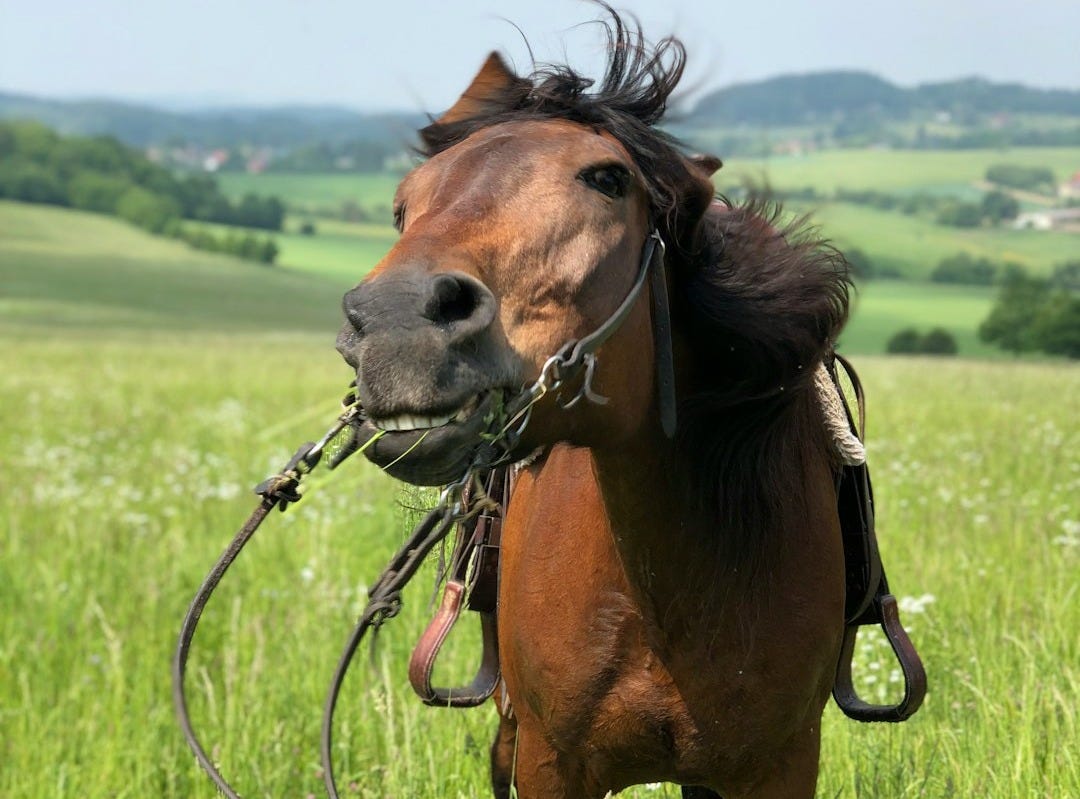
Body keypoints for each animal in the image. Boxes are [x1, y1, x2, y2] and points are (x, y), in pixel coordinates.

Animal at [334, 14, 854, 799]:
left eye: (608, 179)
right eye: (404, 202)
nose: (394, 326)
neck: (673, 593)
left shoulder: (781, 763)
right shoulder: (551, 760)